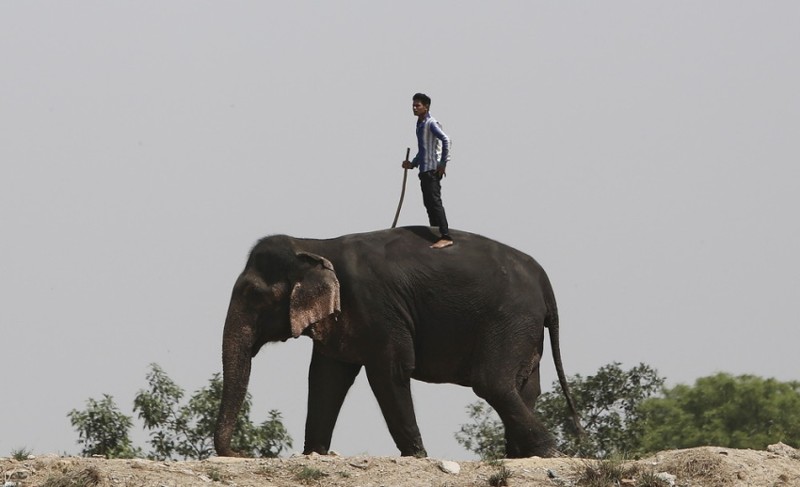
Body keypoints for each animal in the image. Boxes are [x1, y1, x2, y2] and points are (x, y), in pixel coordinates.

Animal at [216, 227, 580, 460]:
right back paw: (524, 456)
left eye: (253, 294)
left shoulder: (377, 308)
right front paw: (314, 454)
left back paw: (549, 453)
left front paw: (417, 455)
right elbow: (326, 378)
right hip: (524, 328)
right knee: (526, 388)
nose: (240, 452)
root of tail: (544, 282)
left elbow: (389, 371)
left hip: (510, 319)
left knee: (493, 383)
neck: (315, 244)